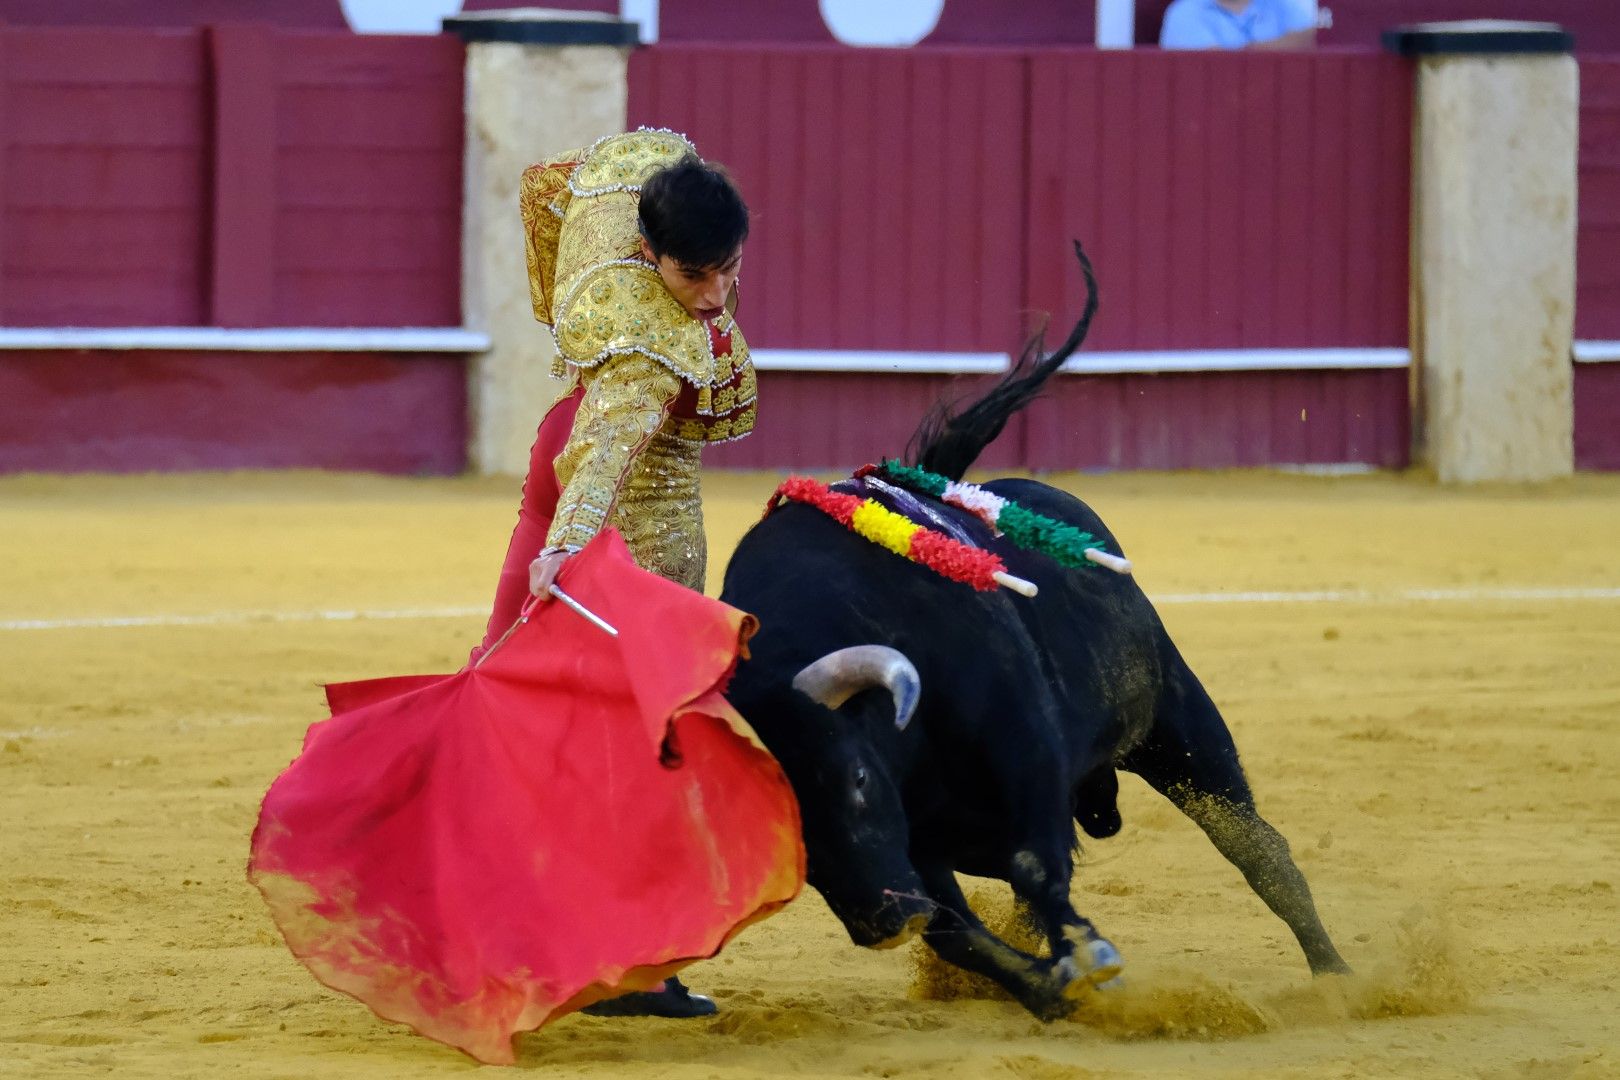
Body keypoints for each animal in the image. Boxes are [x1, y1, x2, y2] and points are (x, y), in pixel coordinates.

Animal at [716, 247, 1347, 1023]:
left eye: (857, 778)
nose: (884, 923)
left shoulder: (1026, 753)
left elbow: (1035, 865)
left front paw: (1090, 959)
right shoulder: (919, 847)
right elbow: (959, 929)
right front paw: (1055, 987)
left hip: (1180, 728)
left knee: (1257, 849)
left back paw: (1338, 977)